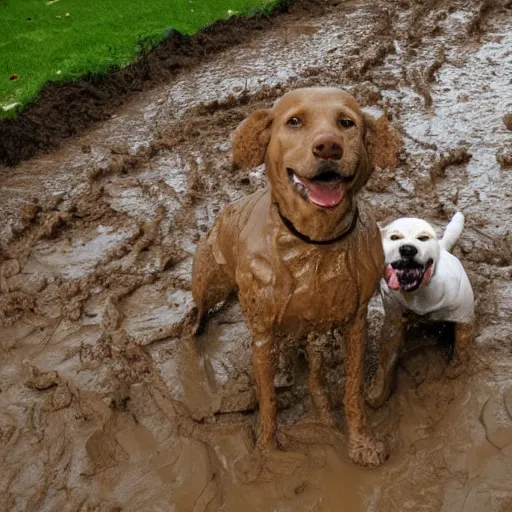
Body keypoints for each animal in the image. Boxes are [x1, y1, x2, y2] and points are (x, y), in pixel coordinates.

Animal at [191, 88, 400, 468]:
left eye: (346, 122)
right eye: (295, 121)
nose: (328, 147)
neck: (314, 241)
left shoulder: (356, 322)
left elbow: (352, 389)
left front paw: (361, 442)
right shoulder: (261, 334)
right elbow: (268, 401)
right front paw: (267, 451)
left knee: (312, 360)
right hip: (206, 281)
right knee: (197, 315)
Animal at [368, 212, 472, 408]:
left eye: (423, 238)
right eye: (395, 237)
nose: (408, 249)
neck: (419, 295)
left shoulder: (463, 314)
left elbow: (462, 345)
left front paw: (456, 367)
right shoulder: (393, 319)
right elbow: (387, 358)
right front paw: (380, 389)